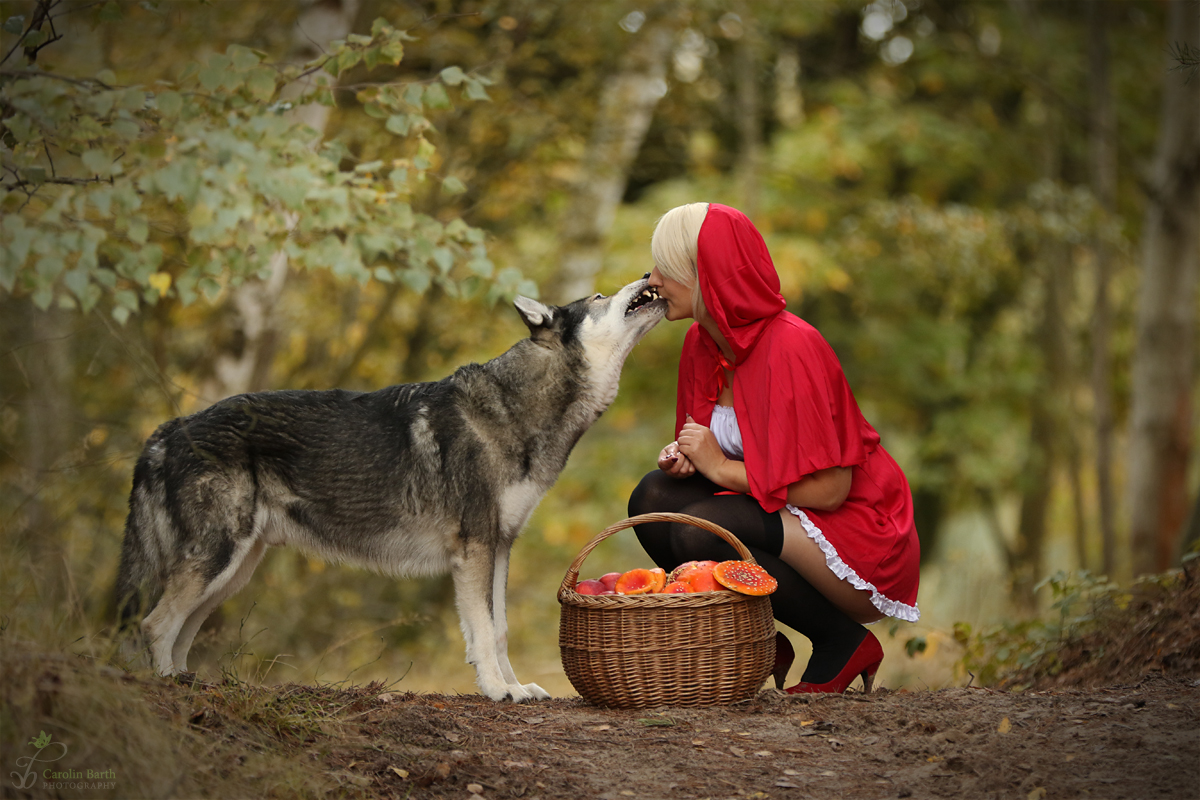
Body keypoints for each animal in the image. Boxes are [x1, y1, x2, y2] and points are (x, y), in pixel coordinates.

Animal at [115, 277, 662, 700]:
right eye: (598, 296)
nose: (645, 275)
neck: (514, 411)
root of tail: (170, 429)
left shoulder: (501, 546)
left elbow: (500, 630)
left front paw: (516, 687)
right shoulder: (475, 550)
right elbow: (485, 632)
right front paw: (496, 691)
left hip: (232, 571)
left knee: (178, 632)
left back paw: (185, 683)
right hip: (217, 561)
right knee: (154, 625)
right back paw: (167, 688)